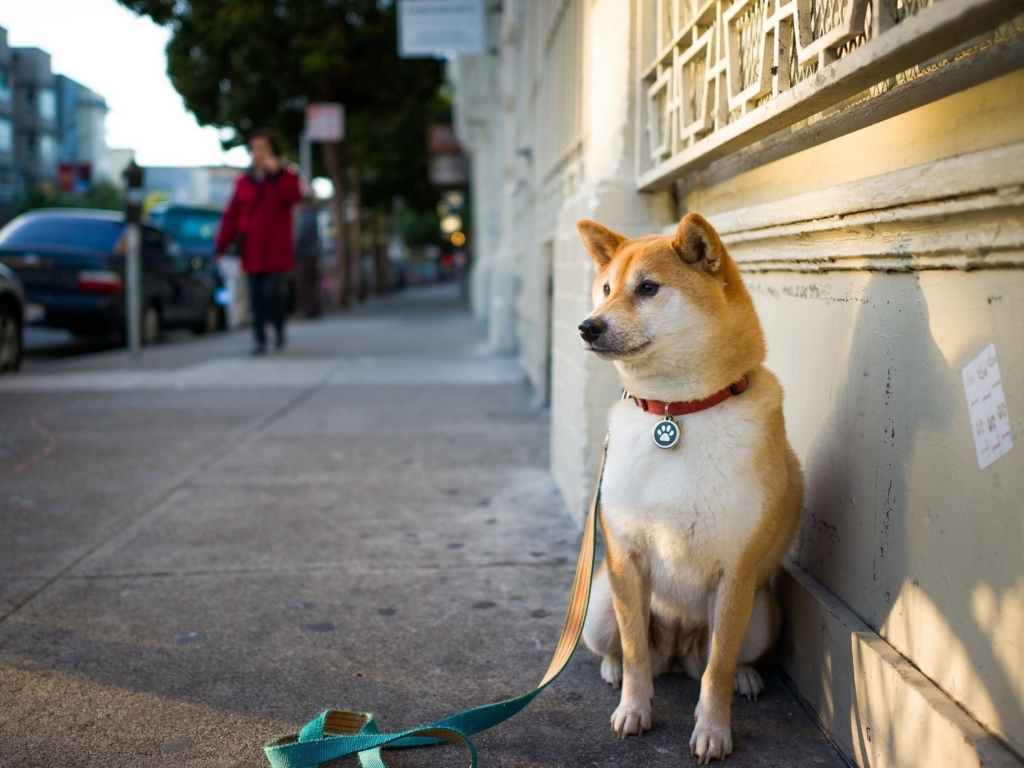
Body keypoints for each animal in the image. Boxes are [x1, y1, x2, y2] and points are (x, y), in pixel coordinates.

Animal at [577, 215, 798, 765]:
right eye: (606, 289)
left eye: (648, 289)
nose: (588, 325)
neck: (677, 412)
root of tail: (677, 652)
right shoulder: (627, 557)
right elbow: (635, 650)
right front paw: (634, 709)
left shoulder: (736, 572)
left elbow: (717, 668)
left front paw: (713, 731)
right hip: (599, 606)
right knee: (625, 648)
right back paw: (613, 670)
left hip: (763, 613)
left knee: (721, 661)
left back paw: (746, 676)